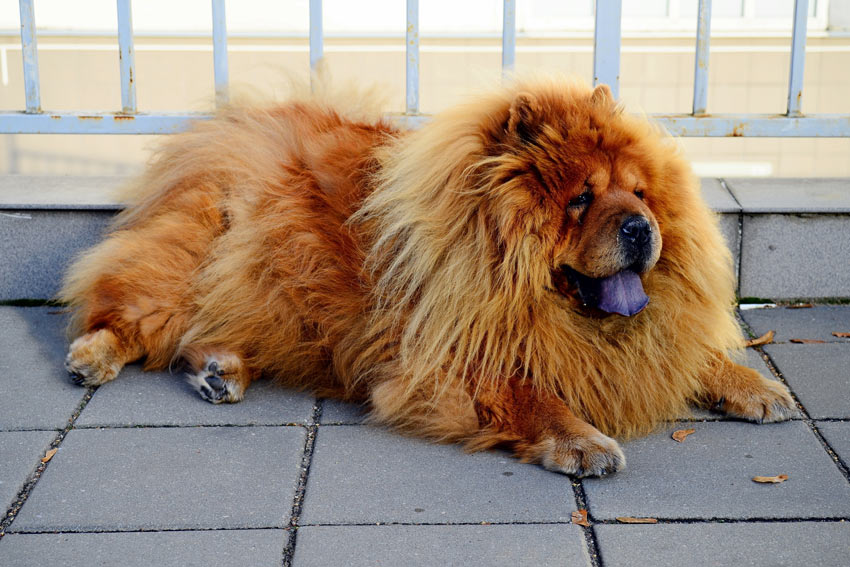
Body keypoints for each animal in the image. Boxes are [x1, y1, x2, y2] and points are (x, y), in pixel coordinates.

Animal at [59, 75, 796, 474]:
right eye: (581, 199)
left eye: (639, 193)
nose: (642, 228)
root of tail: (226, 129)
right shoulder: (446, 355)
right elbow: (531, 395)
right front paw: (584, 442)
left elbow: (688, 356)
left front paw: (755, 386)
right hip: (197, 261)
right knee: (128, 308)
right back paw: (96, 355)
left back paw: (222, 371)